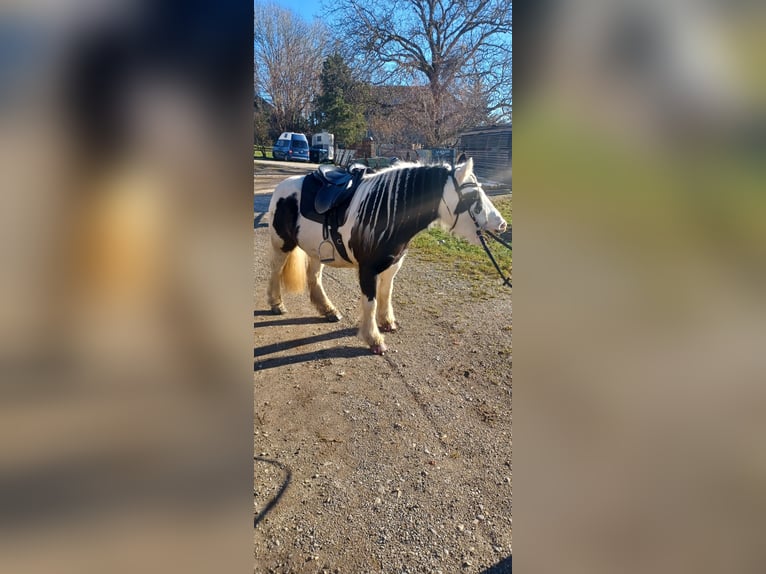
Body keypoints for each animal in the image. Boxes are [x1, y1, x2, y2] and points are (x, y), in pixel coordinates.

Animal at [268, 158, 508, 356]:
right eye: (473, 196)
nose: (502, 225)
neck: (386, 213)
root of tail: (282, 187)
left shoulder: (392, 265)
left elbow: (386, 293)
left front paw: (387, 322)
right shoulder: (367, 270)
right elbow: (370, 303)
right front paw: (374, 340)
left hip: (316, 251)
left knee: (314, 278)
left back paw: (328, 310)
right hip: (282, 244)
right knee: (275, 271)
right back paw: (276, 303)